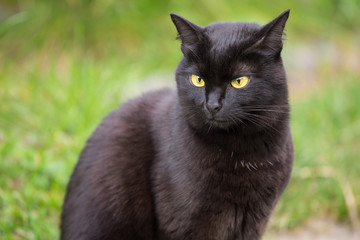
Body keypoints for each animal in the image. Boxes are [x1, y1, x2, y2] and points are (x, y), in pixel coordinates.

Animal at [61, 9, 292, 240]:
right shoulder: (185, 221)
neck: (240, 153)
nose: (212, 105)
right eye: (198, 79)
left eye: (239, 81)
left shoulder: (254, 220)